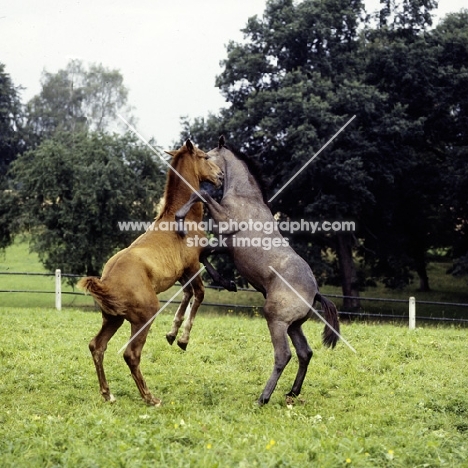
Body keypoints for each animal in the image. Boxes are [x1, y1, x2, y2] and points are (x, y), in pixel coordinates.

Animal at [77, 140, 223, 406]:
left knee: (97, 346)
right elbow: (198, 295)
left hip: (112, 319)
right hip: (144, 317)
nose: (220, 176)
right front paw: (182, 339)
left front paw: (172, 333)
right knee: (131, 354)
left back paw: (108, 394)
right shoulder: (192, 266)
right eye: (205, 156)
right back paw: (150, 397)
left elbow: (187, 295)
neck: (180, 218)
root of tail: (107, 284)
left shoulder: (181, 273)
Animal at [174, 136, 338, 406]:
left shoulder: (225, 224)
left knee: (284, 355)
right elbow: (204, 254)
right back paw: (292, 392)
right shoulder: (226, 244)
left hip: (276, 320)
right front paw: (227, 283)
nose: (217, 177)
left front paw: (178, 218)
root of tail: (315, 292)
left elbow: (202, 195)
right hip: (294, 325)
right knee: (305, 352)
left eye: (207, 155)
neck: (244, 196)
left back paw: (264, 397)